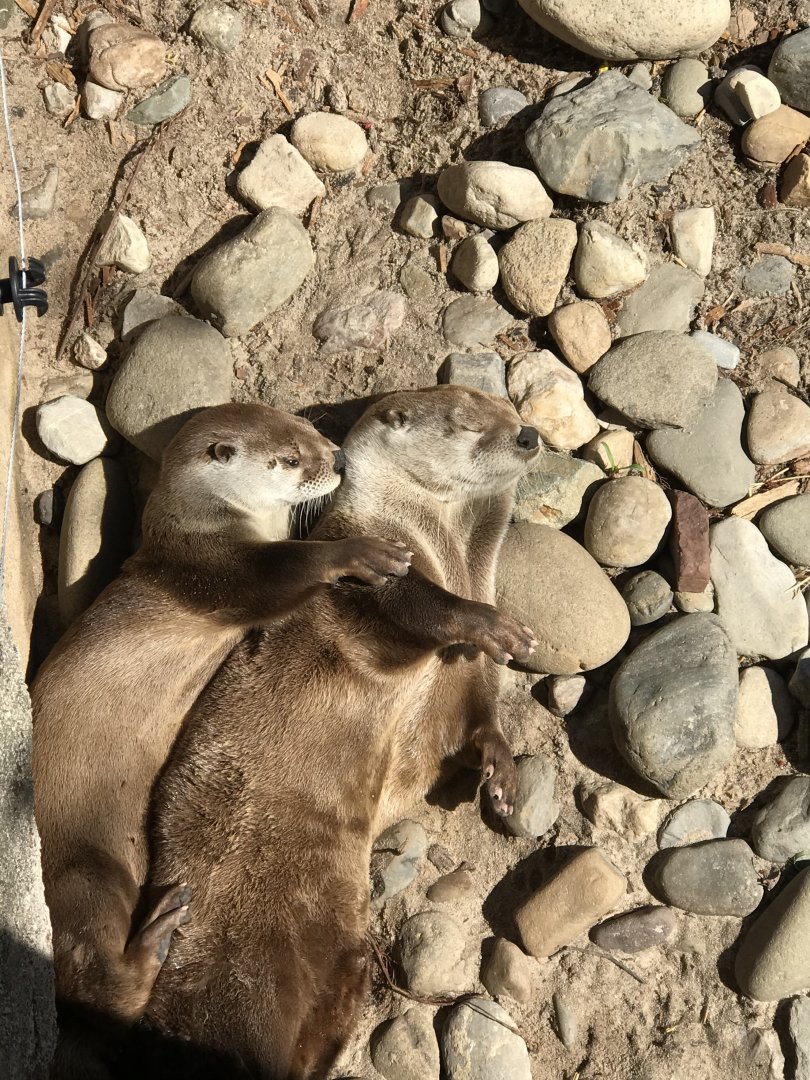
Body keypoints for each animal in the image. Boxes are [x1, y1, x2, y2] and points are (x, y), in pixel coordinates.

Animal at [31, 402, 411, 1026]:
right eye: (288, 459)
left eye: (310, 431)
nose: (337, 460)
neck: (198, 529)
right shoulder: (218, 574)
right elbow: (289, 570)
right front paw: (362, 552)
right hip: (83, 869)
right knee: (96, 973)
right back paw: (157, 933)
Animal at [140, 386, 540, 1079]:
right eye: (468, 422)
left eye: (510, 406)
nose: (529, 436)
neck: (448, 554)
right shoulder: (364, 591)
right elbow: (418, 606)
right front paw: (493, 623)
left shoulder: (470, 680)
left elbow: (480, 720)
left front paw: (503, 775)